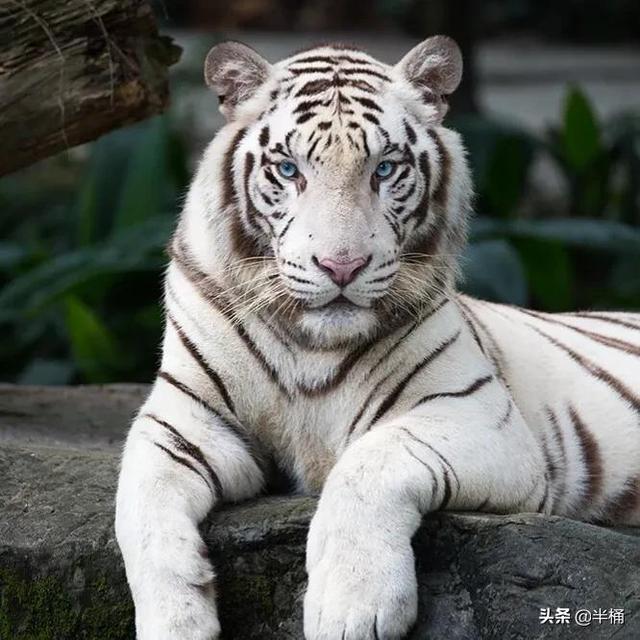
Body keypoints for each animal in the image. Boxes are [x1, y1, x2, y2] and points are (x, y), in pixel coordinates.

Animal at [115, 36, 640, 640]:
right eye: (289, 169)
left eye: (384, 169)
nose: (341, 265)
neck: (310, 347)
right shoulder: (184, 419)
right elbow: (139, 503)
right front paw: (175, 619)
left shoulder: (481, 417)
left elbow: (370, 462)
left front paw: (351, 608)